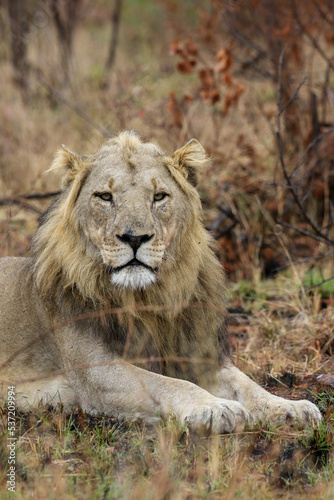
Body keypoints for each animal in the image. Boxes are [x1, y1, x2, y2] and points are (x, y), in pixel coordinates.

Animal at [1, 132, 322, 434]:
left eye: (159, 197)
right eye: (104, 196)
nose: (134, 238)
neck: (147, 298)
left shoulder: (195, 352)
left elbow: (245, 383)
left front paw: (289, 408)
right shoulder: (95, 371)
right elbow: (166, 384)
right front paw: (216, 408)